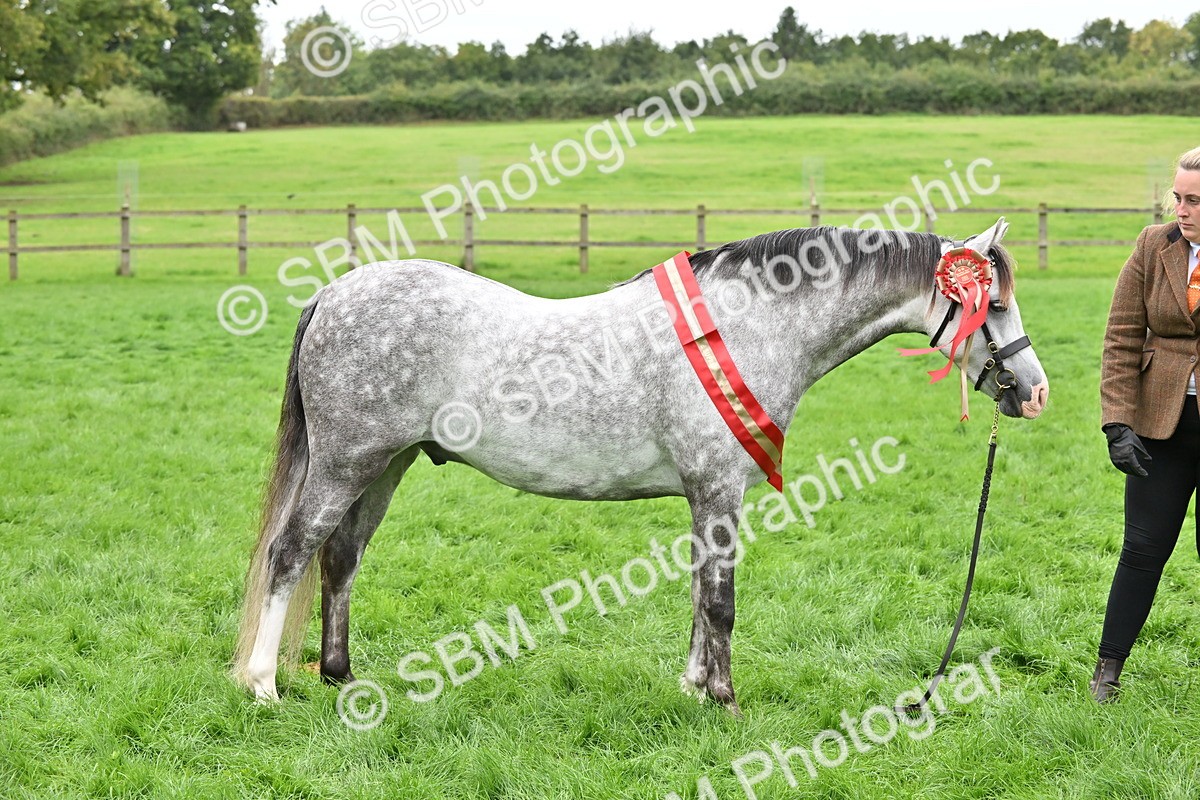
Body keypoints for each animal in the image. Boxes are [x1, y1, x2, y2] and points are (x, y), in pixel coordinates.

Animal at [233, 218, 1048, 715]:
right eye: (994, 306)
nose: (1034, 391)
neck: (748, 325)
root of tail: (333, 292)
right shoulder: (718, 487)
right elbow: (721, 601)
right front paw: (725, 701)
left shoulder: (704, 495)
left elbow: (698, 593)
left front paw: (692, 688)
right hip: (347, 461)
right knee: (291, 553)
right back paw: (264, 684)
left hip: (386, 464)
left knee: (340, 557)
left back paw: (340, 676)